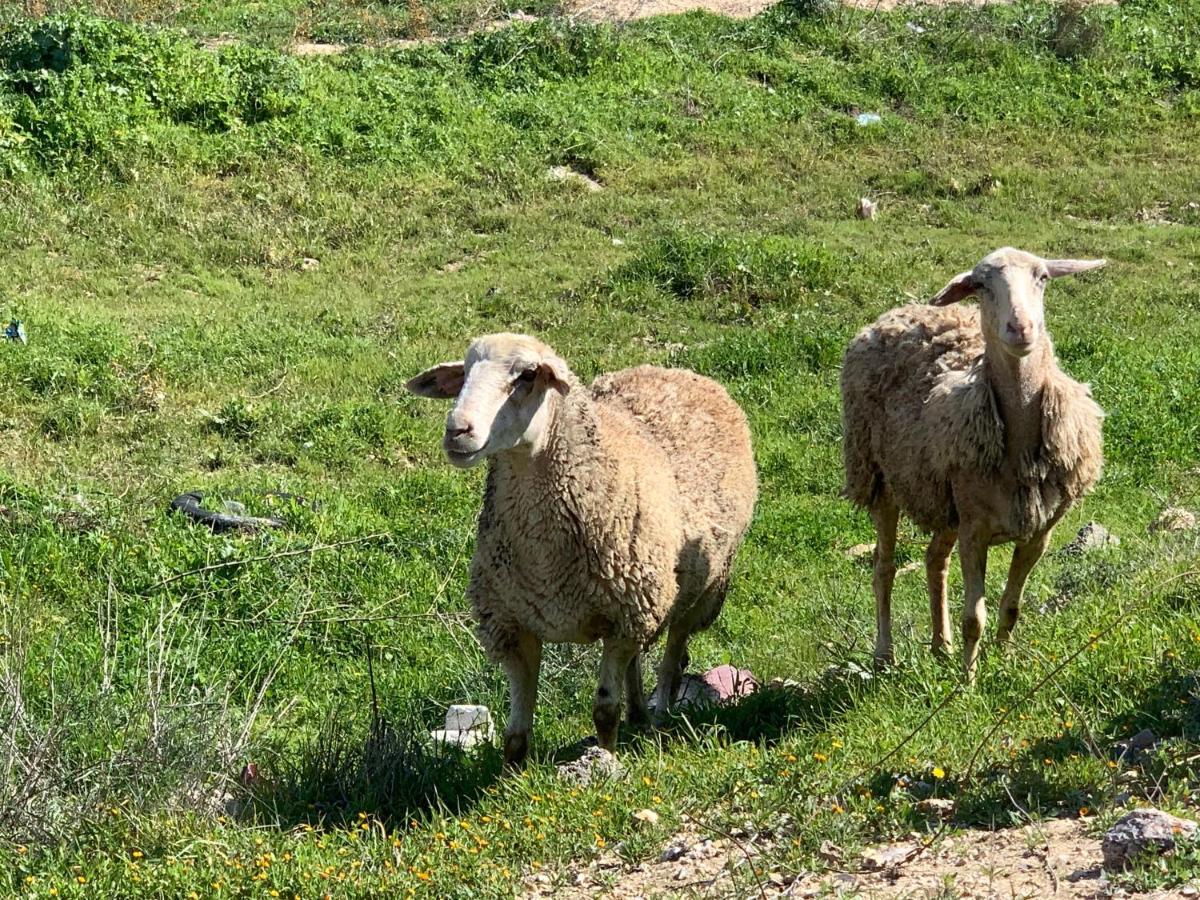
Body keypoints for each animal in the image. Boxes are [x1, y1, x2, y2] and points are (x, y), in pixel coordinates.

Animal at [408, 336, 753, 763]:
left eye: (528, 375)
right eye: (465, 372)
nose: (457, 430)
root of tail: (677, 372)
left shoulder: (624, 618)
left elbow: (604, 710)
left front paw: (605, 761)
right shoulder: (512, 626)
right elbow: (515, 735)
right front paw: (511, 777)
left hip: (698, 592)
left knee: (672, 658)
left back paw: (658, 719)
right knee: (637, 661)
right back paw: (639, 714)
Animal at [844, 247, 1104, 681]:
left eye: (1042, 277)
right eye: (981, 285)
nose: (1020, 327)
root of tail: (900, 310)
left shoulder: (1038, 533)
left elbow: (1011, 607)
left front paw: (1004, 662)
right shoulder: (975, 531)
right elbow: (974, 619)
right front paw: (969, 681)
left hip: (945, 502)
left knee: (934, 560)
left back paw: (941, 647)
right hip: (879, 476)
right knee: (884, 566)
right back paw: (885, 655)